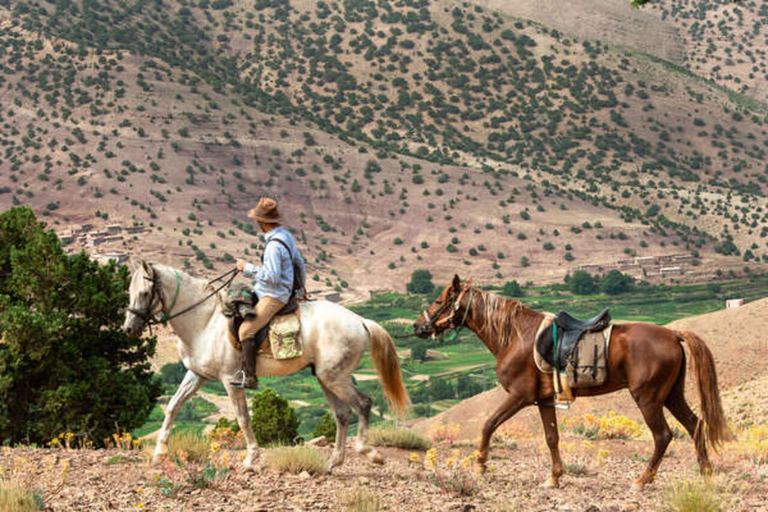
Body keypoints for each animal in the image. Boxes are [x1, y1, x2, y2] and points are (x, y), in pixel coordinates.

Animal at [121, 262, 408, 474]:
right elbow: (172, 407)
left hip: (335, 377)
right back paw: (332, 463)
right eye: (130, 293)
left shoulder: (230, 379)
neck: (204, 321)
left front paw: (250, 460)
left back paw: (369, 453)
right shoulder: (197, 375)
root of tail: (360, 320)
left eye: (145, 294)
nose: (129, 329)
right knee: (343, 414)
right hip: (326, 378)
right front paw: (159, 454)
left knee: (363, 404)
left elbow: (243, 419)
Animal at [414, 274, 732, 490]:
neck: (515, 336)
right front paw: (554, 477)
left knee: (663, 436)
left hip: (649, 399)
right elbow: (551, 437)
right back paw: (706, 473)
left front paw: (480, 465)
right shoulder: (543, 401)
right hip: (672, 395)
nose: (418, 326)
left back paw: (642, 480)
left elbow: (488, 424)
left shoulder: (519, 396)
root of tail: (674, 334)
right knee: (695, 425)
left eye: (439, 301)